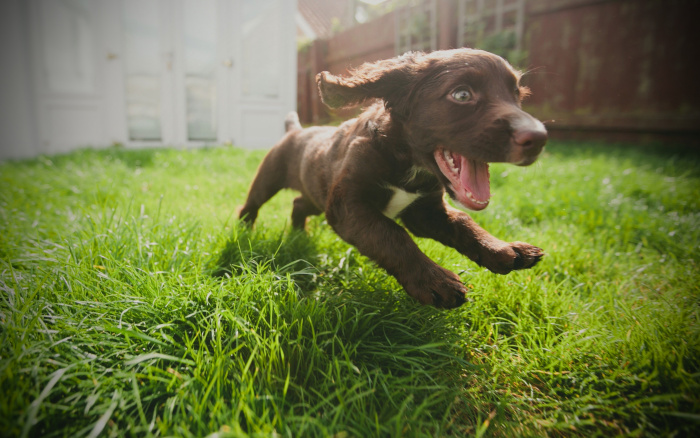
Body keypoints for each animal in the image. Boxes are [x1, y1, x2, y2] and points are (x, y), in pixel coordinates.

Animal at [239, 48, 548, 308]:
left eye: (518, 95)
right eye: (462, 95)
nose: (540, 138)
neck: (407, 164)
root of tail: (296, 129)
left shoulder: (425, 211)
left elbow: (463, 221)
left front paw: (503, 248)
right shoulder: (347, 205)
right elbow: (392, 234)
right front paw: (435, 281)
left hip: (317, 195)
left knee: (298, 204)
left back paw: (299, 234)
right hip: (269, 178)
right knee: (251, 205)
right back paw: (244, 234)